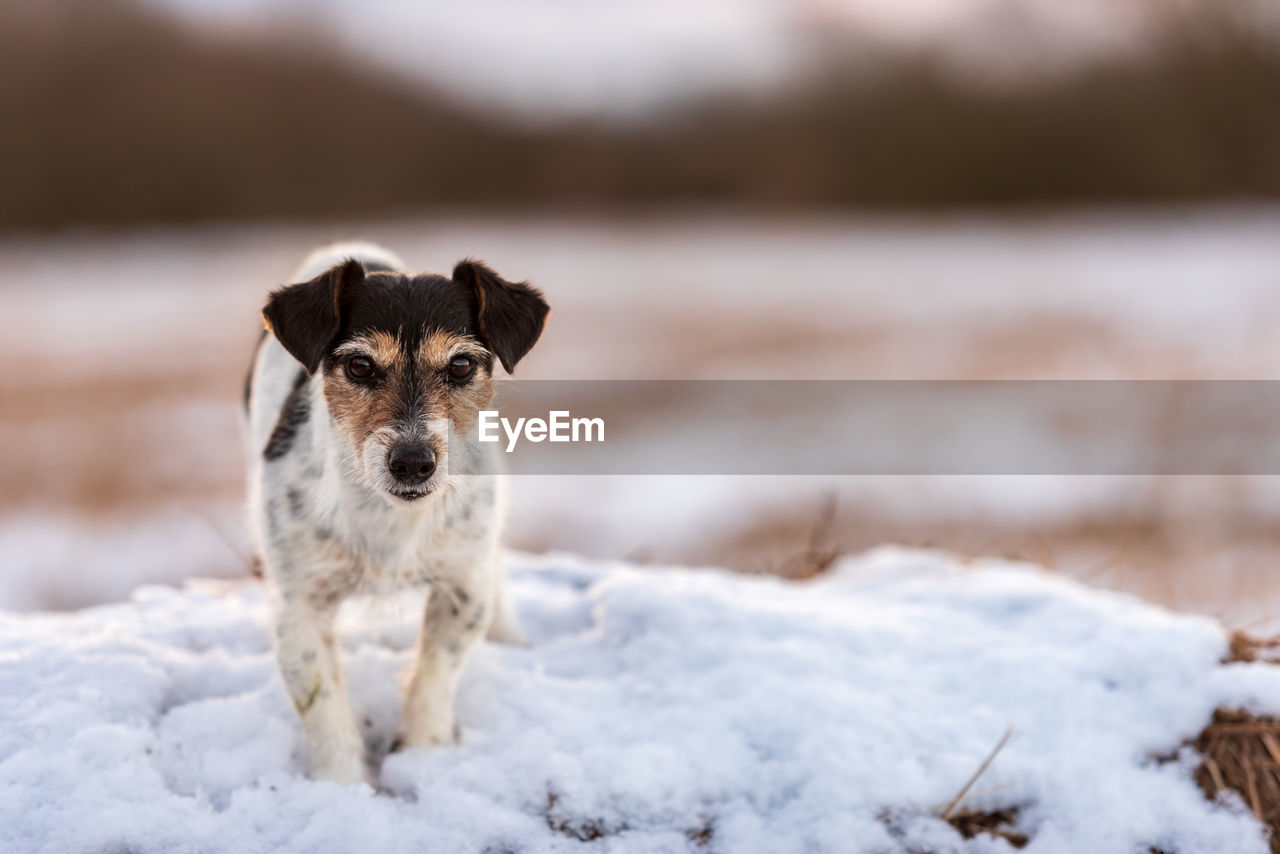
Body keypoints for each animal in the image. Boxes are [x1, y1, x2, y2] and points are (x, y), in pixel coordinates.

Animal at [241, 239, 547, 783]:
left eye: (461, 366)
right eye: (360, 366)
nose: (412, 463)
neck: (387, 517)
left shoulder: (461, 587)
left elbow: (435, 671)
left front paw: (425, 752)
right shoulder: (299, 605)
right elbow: (320, 700)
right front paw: (341, 786)